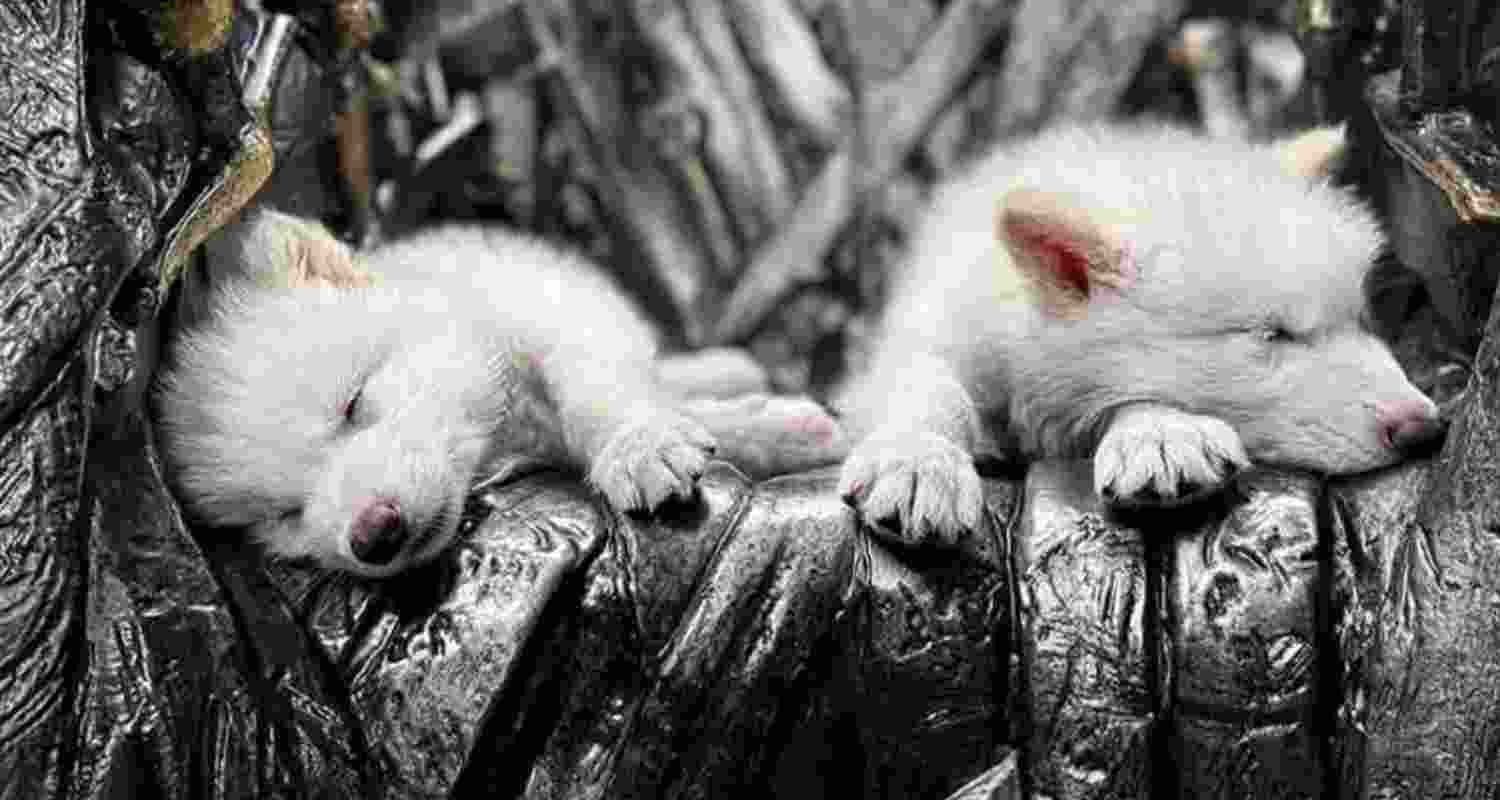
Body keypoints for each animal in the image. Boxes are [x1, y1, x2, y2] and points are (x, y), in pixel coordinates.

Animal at [154, 210, 847, 578]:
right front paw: (774, 431)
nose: (373, 535)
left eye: (353, 403)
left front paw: (640, 445)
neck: (499, 433)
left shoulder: (550, 312)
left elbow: (599, 389)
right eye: (285, 515)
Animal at [836, 123, 1445, 543]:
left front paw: (1161, 433)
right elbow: (927, 388)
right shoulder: (931, 332)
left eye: (1362, 320)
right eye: (1273, 335)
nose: (1425, 430)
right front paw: (917, 461)